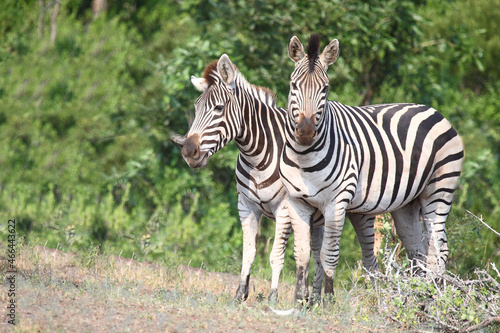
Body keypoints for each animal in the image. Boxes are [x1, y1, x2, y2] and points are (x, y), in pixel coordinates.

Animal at [172, 53, 328, 300]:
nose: (188, 152)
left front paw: (272, 297)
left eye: (218, 108)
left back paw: (314, 300)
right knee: (316, 252)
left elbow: (275, 255)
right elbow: (249, 252)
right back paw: (310, 300)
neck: (257, 156)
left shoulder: (284, 208)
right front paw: (240, 295)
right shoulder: (246, 205)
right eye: (196, 108)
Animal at [282, 34, 464, 300]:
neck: (304, 157)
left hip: (439, 190)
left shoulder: (336, 203)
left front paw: (326, 301)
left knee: (437, 253)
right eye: (294, 85)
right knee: (418, 251)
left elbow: (329, 256)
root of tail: (434, 110)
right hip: (407, 204)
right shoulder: (297, 202)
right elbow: (302, 255)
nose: (305, 133)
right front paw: (299, 301)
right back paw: (418, 298)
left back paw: (434, 298)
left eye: (325, 89)